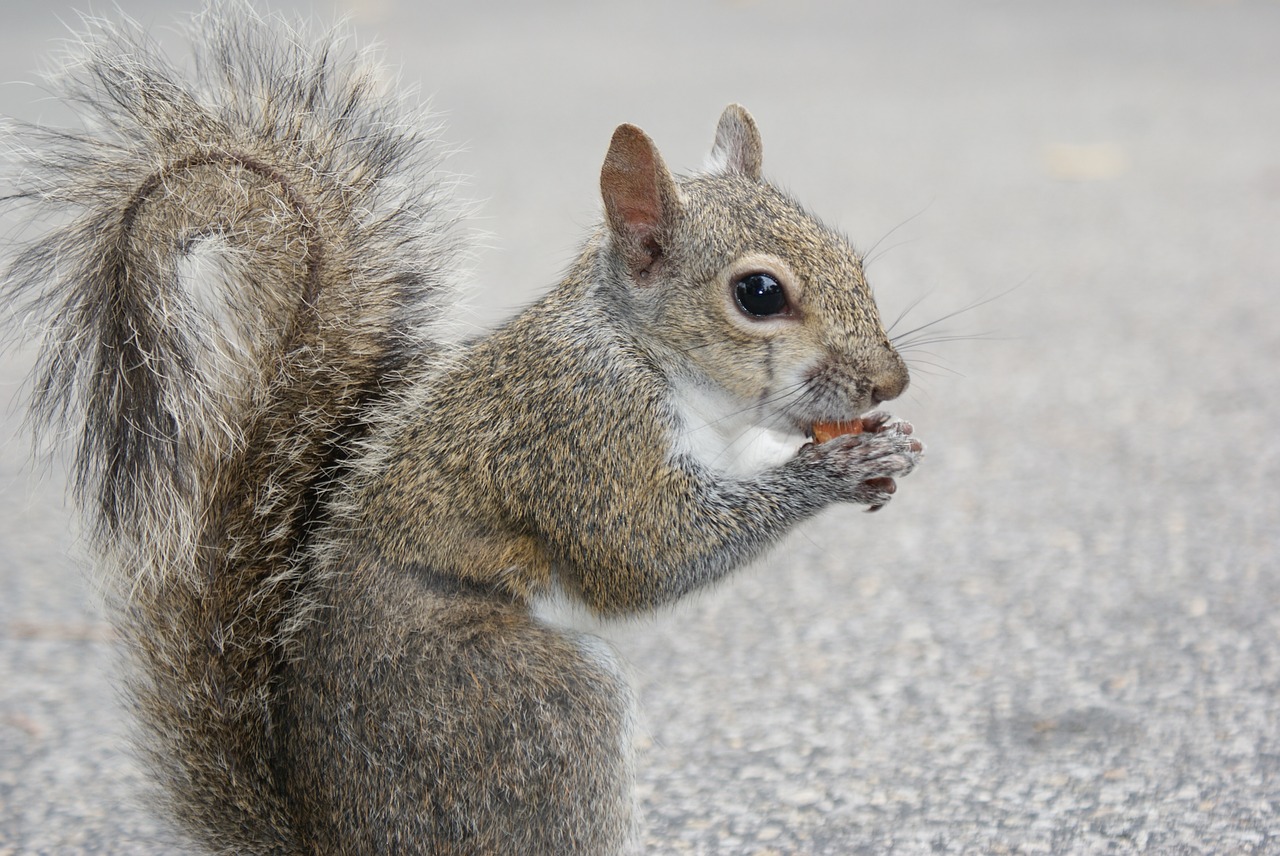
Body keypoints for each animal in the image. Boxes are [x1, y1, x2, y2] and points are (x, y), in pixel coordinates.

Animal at [0, 3, 921, 849]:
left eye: (851, 256)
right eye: (758, 294)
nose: (892, 380)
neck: (652, 359)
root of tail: (338, 835)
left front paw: (882, 449)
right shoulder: (580, 435)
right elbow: (648, 555)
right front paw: (827, 474)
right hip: (518, 707)